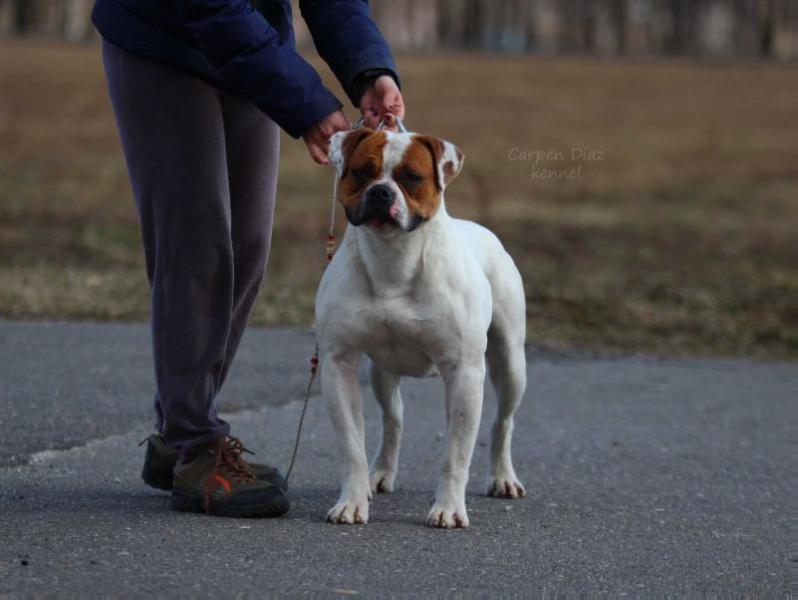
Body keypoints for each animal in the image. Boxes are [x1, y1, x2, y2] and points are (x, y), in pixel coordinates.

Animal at [316, 127, 528, 528]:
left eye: (412, 177)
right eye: (361, 172)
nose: (381, 192)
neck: (394, 259)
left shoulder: (464, 372)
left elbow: (455, 454)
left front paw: (448, 509)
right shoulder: (340, 364)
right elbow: (352, 447)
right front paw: (352, 502)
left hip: (510, 363)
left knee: (504, 421)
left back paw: (503, 478)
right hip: (381, 371)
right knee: (393, 418)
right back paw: (380, 474)